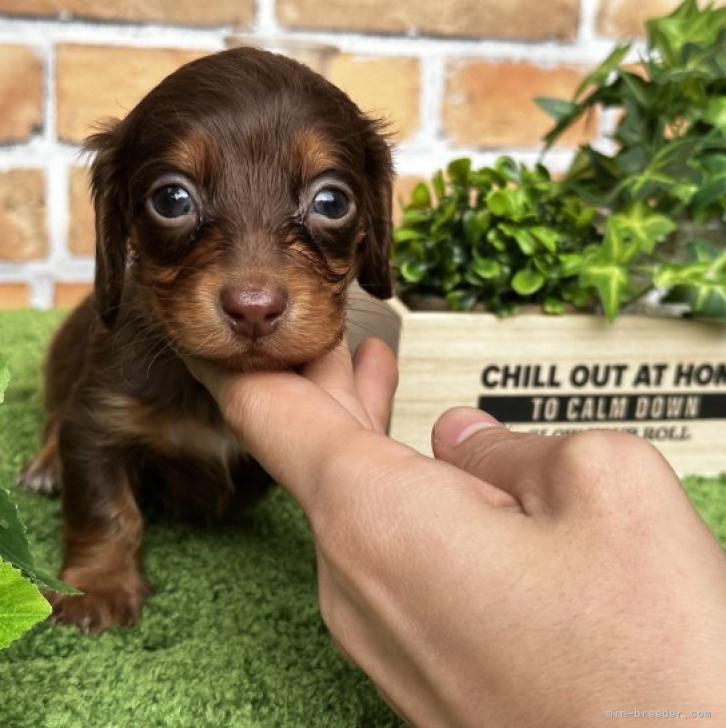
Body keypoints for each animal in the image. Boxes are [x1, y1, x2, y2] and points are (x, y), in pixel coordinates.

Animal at [17, 48, 392, 636]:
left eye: (332, 202)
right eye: (172, 199)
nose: (254, 308)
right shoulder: (97, 418)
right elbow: (106, 509)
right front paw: (97, 586)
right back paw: (46, 465)